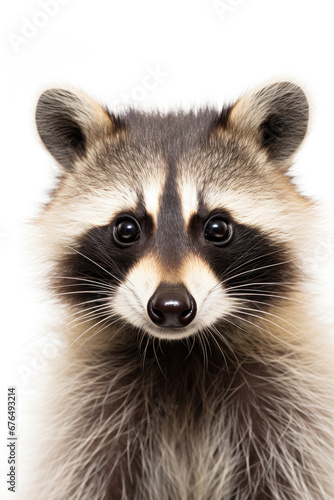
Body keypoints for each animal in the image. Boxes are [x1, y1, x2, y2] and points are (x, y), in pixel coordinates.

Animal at [25, 83, 334, 500]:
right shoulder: (91, 412)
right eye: (127, 229)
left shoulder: (291, 404)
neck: (181, 352)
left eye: (217, 228)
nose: (171, 306)